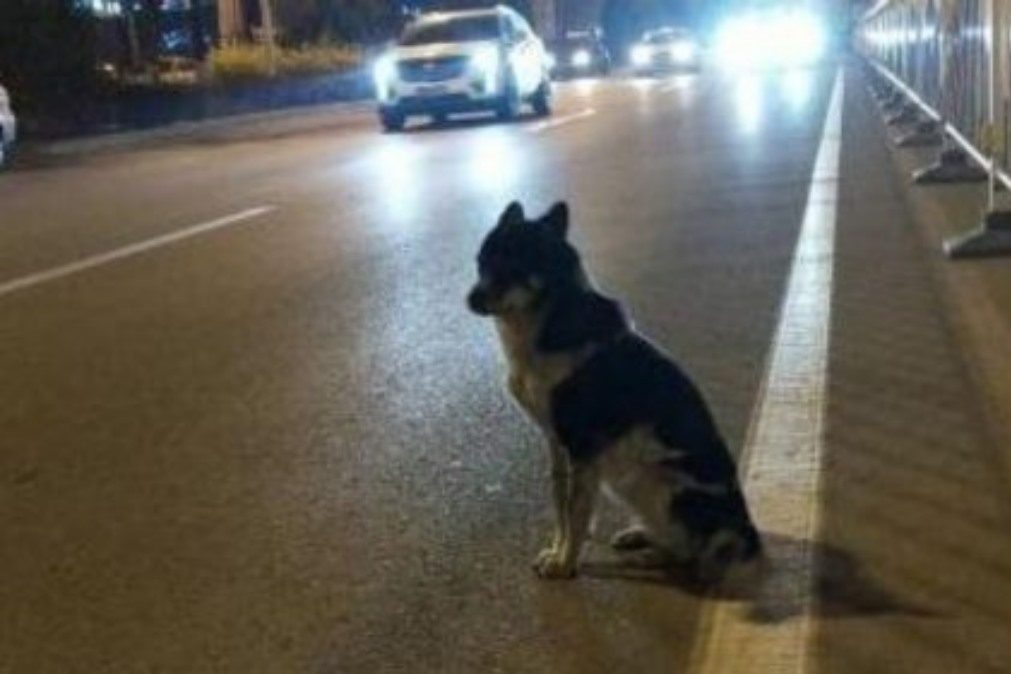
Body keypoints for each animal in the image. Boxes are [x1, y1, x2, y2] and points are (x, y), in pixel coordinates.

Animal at [465, 202, 760, 586]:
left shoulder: (582, 449)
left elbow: (576, 513)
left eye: (513, 268)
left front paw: (565, 565)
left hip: (659, 485)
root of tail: (747, 529)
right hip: (632, 482)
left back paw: (649, 556)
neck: (547, 318)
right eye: (482, 262)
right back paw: (640, 535)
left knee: (689, 553)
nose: (471, 299)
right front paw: (558, 550)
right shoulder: (557, 444)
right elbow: (561, 505)